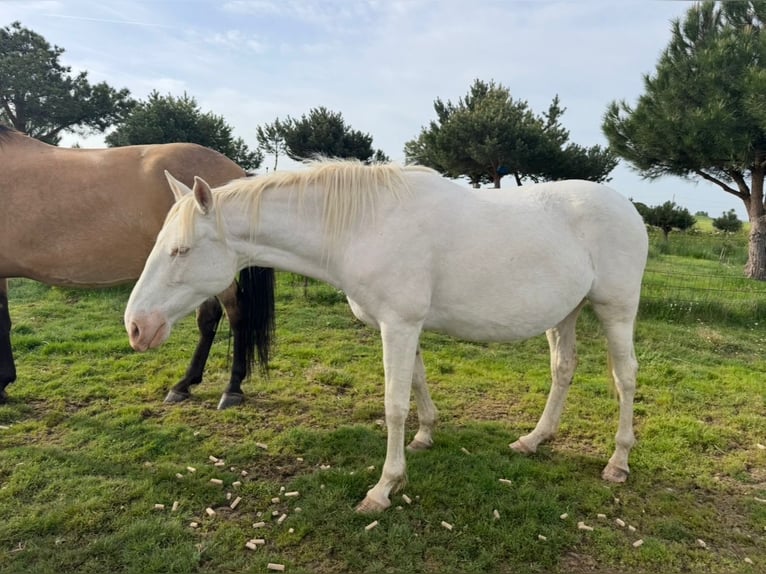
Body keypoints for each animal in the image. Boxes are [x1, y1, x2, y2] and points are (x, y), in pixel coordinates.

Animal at [124, 160, 648, 512]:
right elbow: (416, 385)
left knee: (625, 378)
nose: (136, 326)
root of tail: (628, 208)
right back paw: (534, 440)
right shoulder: (399, 326)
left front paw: (384, 488)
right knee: (564, 369)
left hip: (616, 310)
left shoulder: (399, 324)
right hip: (566, 313)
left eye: (180, 250)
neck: (364, 225)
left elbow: (394, 404)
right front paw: (425, 436)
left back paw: (618, 462)